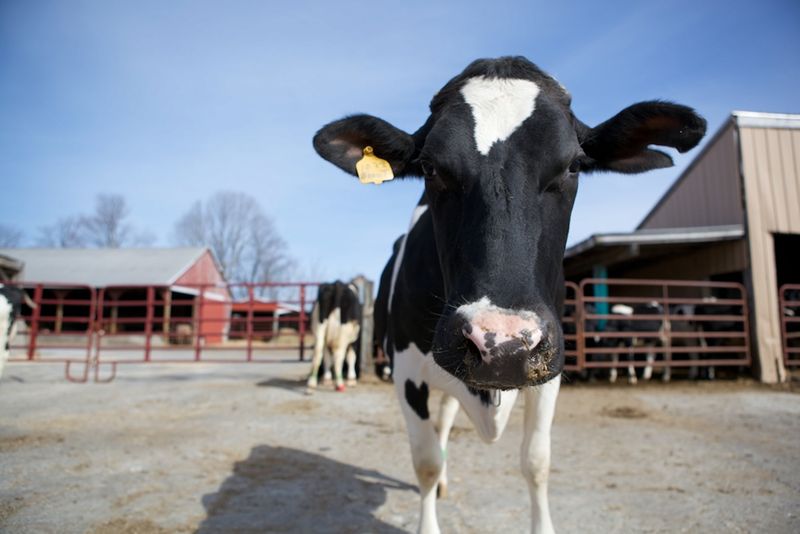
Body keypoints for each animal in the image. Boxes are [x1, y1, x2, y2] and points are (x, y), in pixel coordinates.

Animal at [313, 56, 705, 533]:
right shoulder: (406, 371)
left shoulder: (548, 370)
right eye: (429, 168)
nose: (500, 344)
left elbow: (536, 462)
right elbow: (425, 462)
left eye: (574, 165)